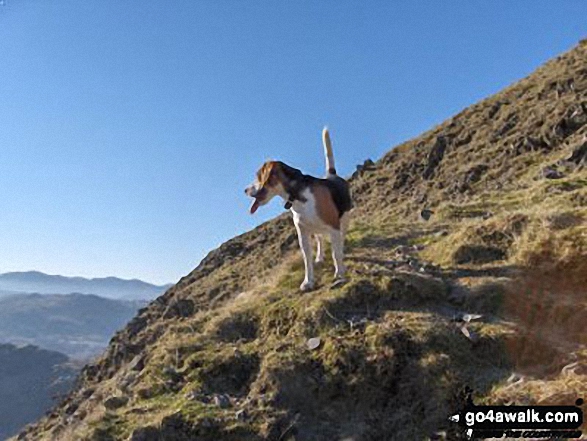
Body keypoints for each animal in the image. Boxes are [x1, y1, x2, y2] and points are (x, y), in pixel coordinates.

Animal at [245, 127, 352, 290]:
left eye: (258, 176)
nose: (244, 190)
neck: (296, 195)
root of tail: (331, 175)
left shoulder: (334, 227)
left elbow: (336, 253)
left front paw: (339, 273)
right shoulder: (302, 233)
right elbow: (307, 260)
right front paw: (308, 281)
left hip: (344, 219)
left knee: (341, 238)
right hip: (315, 228)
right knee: (320, 239)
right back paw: (320, 257)